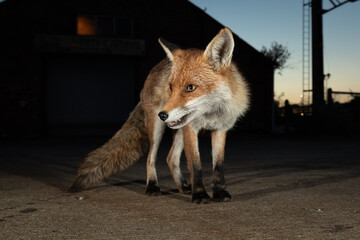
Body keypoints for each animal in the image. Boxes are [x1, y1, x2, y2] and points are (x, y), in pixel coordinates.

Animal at [70, 28, 250, 204]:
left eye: (190, 87)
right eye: (171, 87)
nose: (162, 114)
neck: (210, 114)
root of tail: (154, 70)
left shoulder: (220, 128)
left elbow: (218, 166)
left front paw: (219, 192)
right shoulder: (191, 129)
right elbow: (195, 165)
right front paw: (199, 194)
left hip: (178, 128)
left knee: (171, 158)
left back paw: (182, 187)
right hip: (157, 130)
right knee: (151, 157)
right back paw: (152, 186)